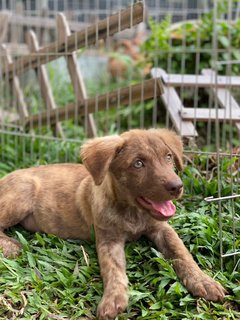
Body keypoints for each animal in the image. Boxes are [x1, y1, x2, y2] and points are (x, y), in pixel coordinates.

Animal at [0, 129, 225, 318]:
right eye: (138, 163)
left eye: (168, 157)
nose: (177, 186)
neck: (133, 212)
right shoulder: (108, 239)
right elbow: (113, 269)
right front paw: (113, 299)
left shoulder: (162, 229)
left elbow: (182, 253)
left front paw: (203, 280)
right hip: (22, 192)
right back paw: (11, 246)